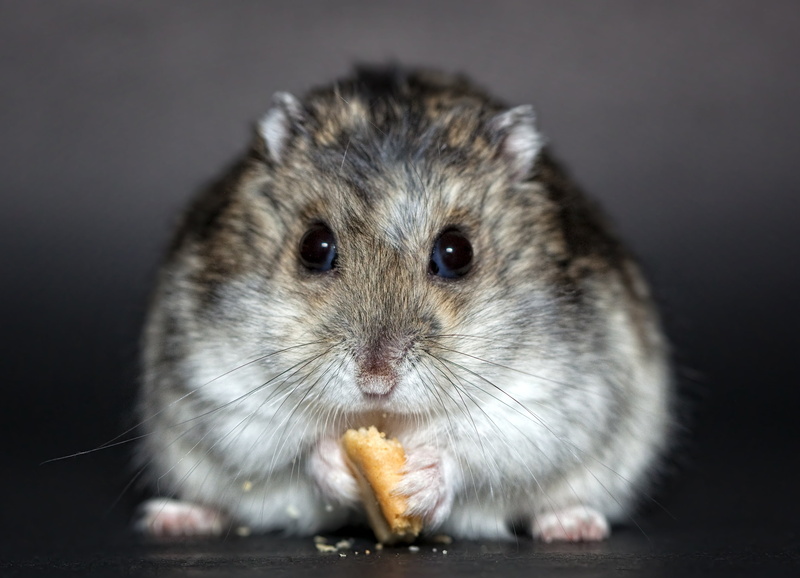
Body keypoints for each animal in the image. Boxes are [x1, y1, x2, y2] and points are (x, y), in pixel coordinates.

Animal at [134, 67, 672, 542]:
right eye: (313, 247)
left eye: (456, 253)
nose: (376, 382)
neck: (388, 420)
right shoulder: (221, 388)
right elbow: (293, 447)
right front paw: (337, 464)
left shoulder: (548, 400)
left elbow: (477, 450)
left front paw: (418, 482)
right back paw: (174, 518)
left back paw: (573, 526)